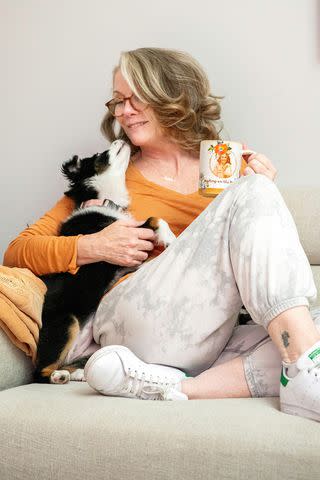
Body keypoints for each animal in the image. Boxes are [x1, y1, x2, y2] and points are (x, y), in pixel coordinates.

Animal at [33, 138, 175, 382]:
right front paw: (169, 237)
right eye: (99, 154)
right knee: (40, 373)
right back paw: (59, 376)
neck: (105, 201)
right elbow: (154, 219)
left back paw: (77, 373)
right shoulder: (122, 239)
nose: (121, 139)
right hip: (66, 323)